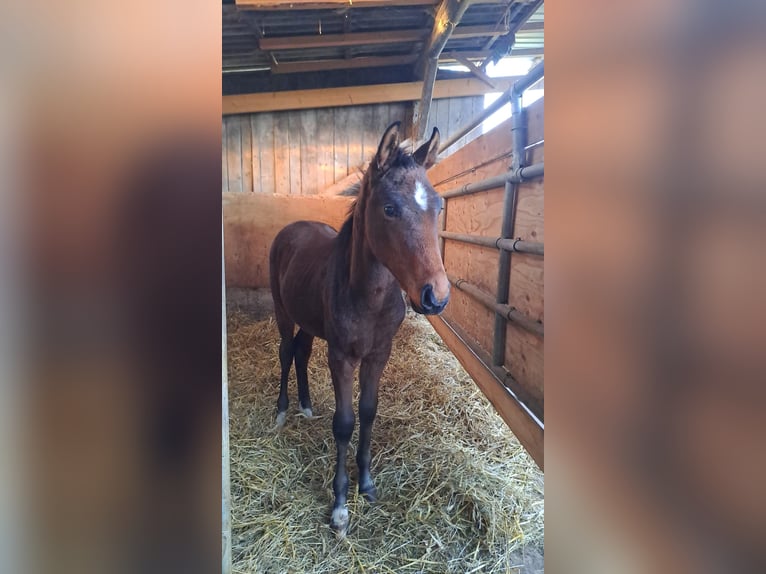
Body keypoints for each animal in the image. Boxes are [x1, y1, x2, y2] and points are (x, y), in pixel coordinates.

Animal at [268, 124, 450, 536]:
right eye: (389, 208)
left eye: (439, 206)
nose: (436, 296)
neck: (369, 298)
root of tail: (292, 228)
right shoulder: (342, 357)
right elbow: (345, 423)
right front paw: (339, 505)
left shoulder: (378, 354)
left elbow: (368, 412)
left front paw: (366, 483)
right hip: (283, 311)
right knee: (287, 351)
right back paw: (284, 411)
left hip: (310, 321)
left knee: (302, 350)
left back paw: (306, 406)